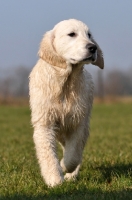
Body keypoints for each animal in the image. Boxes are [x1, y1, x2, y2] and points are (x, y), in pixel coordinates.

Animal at [29, 18, 104, 187]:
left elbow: (73, 154)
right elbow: (48, 154)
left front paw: (65, 166)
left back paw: (71, 174)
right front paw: (55, 180)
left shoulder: (78, 122)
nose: (93, 47)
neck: (65, 82)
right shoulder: (45, 123)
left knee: (76, 149)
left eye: (89, 35)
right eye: (72, 34)